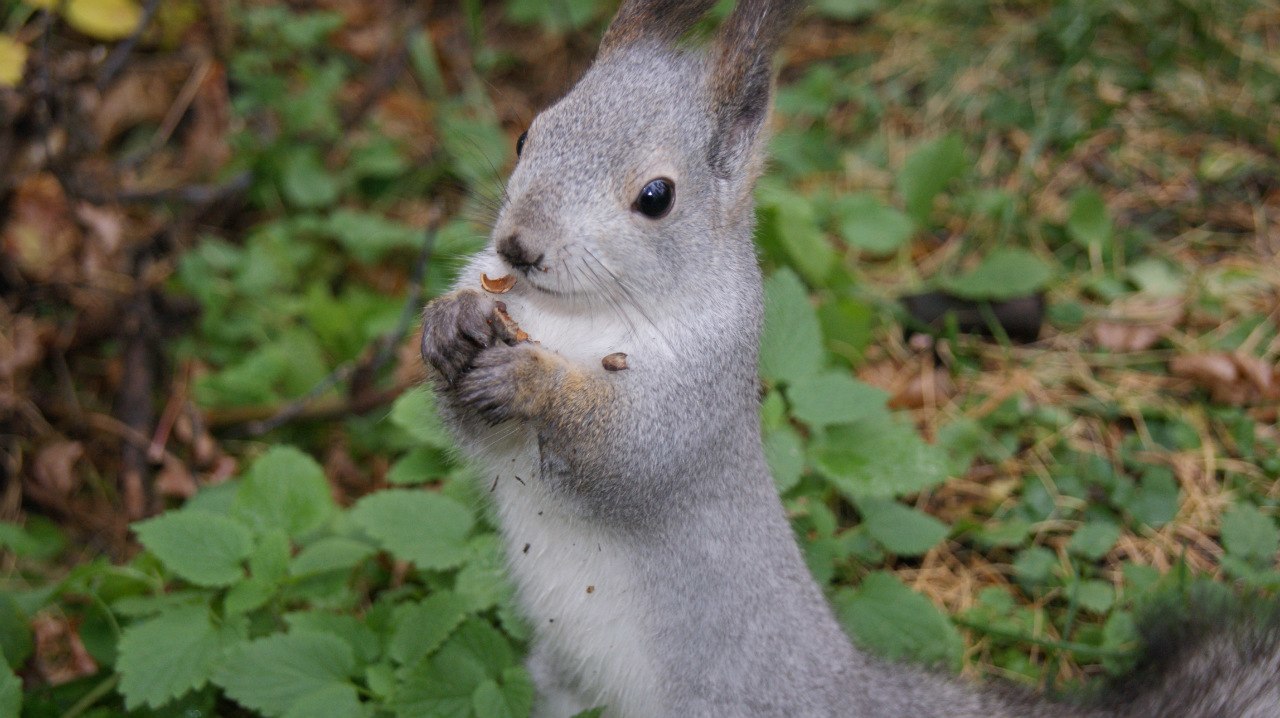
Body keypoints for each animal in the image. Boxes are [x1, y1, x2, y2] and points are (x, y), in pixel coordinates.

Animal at [414, 2, 1274, 711]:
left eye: (656, 197)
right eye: (528, 132)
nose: (518, 247)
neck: (576, 318)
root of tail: (843, 687)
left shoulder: (699, 394)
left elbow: (628, 452)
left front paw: (536, 382)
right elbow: (476, 433)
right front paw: (452, 322)